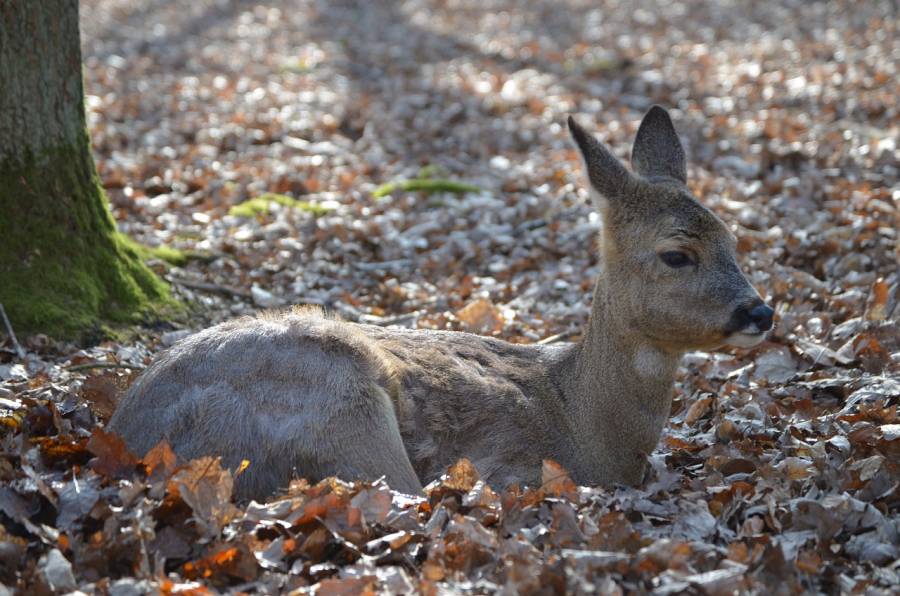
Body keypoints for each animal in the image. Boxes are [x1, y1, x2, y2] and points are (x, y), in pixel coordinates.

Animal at [109, 106, 772, 498]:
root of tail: (125, 435)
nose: (760, 312)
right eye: (677, 254)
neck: (585, 429)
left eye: (735, 238)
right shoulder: (510, 464)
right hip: (343, 412)